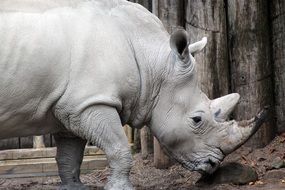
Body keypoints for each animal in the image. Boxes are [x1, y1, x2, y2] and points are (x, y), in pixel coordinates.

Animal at [0, 0, 266, 190]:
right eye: (197, 119)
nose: (212, 165)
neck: (153, 62)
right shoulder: (93, 102)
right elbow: (119, 148)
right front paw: (121, 188)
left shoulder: (72, 105)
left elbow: (70, 155)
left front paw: (74, 187)